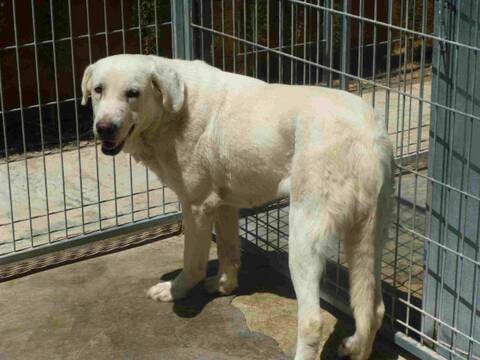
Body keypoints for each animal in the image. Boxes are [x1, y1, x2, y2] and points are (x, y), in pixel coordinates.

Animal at [80, 54, 392, 360]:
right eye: (98, 90)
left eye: (133, 93)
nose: (104, 128)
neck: (173, 109)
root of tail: (367, 134)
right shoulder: (223, 204)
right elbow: (229, 251)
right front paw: (224, 286)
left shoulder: (196, 206)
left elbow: (193, 262)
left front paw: (175, 291)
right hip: (368, 237)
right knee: (374, 310)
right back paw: (357, 348)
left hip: (304, 235)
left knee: (313, 321)